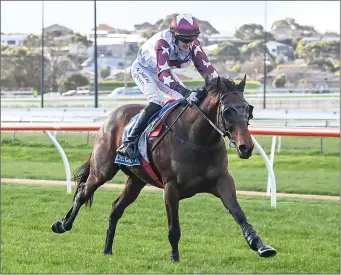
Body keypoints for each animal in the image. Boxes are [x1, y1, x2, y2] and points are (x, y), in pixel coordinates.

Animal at [51, 75, 276, 260]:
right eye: (228, 111)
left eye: (248, 109)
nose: (246, 147)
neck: (197, 139)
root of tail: (110, 117)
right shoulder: (171, 187)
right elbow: (174, 227)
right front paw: (175, 258)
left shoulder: (222, 181)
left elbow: (239, 213)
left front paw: (260, 245)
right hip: (102, 170)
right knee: (83, 193)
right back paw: (62, 225)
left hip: (136, 181)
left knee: (116, 208)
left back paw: (107, 249)